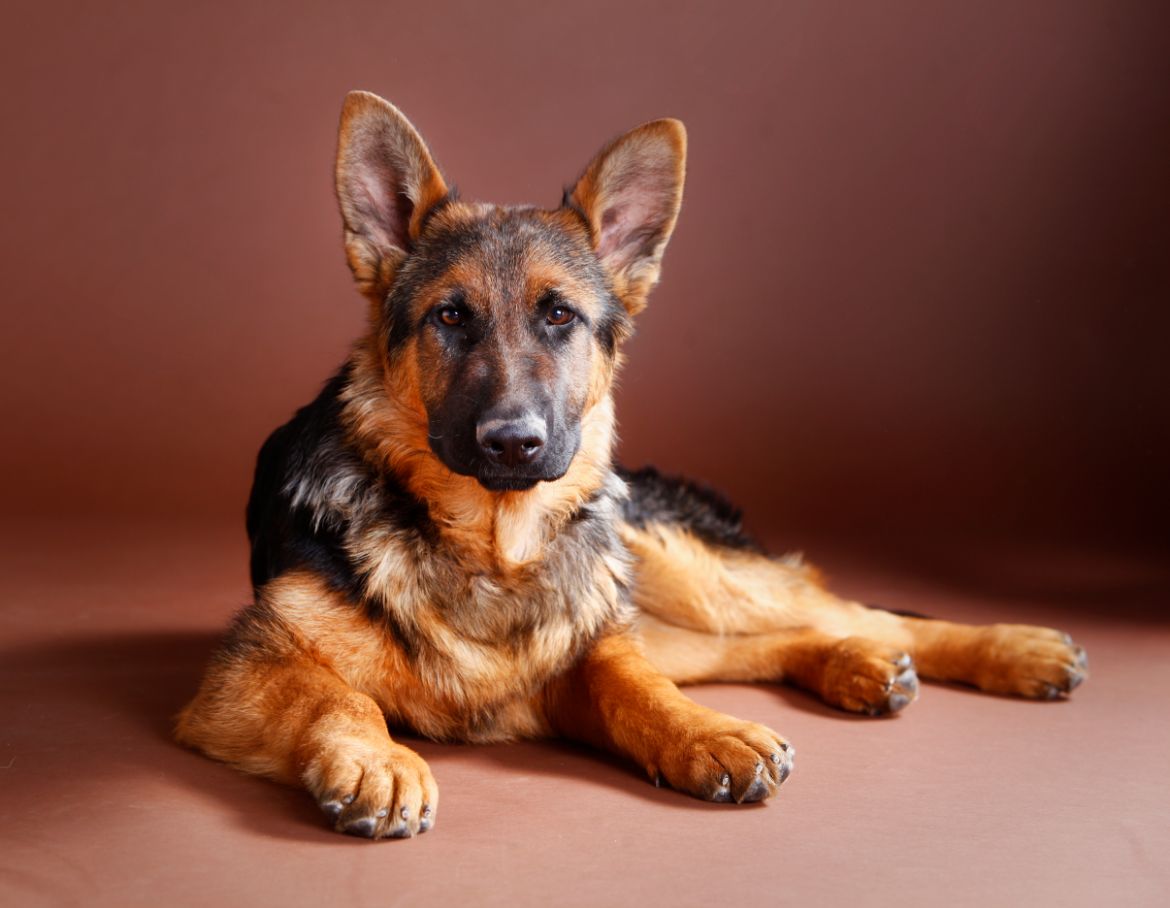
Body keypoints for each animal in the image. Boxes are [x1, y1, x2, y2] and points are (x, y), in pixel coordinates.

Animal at [173, 90, 1085, 837]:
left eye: (559, 317)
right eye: (450, 317)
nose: (513, 441)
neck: (490, 547)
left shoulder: (593, 654)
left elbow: (642, 690)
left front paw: (705, 733)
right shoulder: (247, 671)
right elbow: (339, 693)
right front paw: (377, 758)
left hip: (686, 569)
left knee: (857, 611)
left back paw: (1013, 651)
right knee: (773, 638)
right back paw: (856, 667)